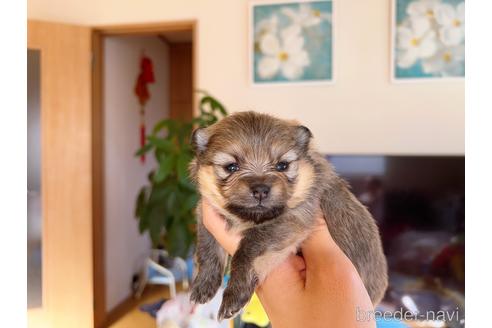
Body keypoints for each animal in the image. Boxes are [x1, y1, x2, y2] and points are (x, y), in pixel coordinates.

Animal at [189, 111, 388, 320]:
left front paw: (234, 295)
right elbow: (206, 249)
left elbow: (247, 249)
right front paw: (203, 284)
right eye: (231, 167)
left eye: (282, 166)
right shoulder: (205, 213)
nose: (261, 190)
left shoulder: (293, 221)